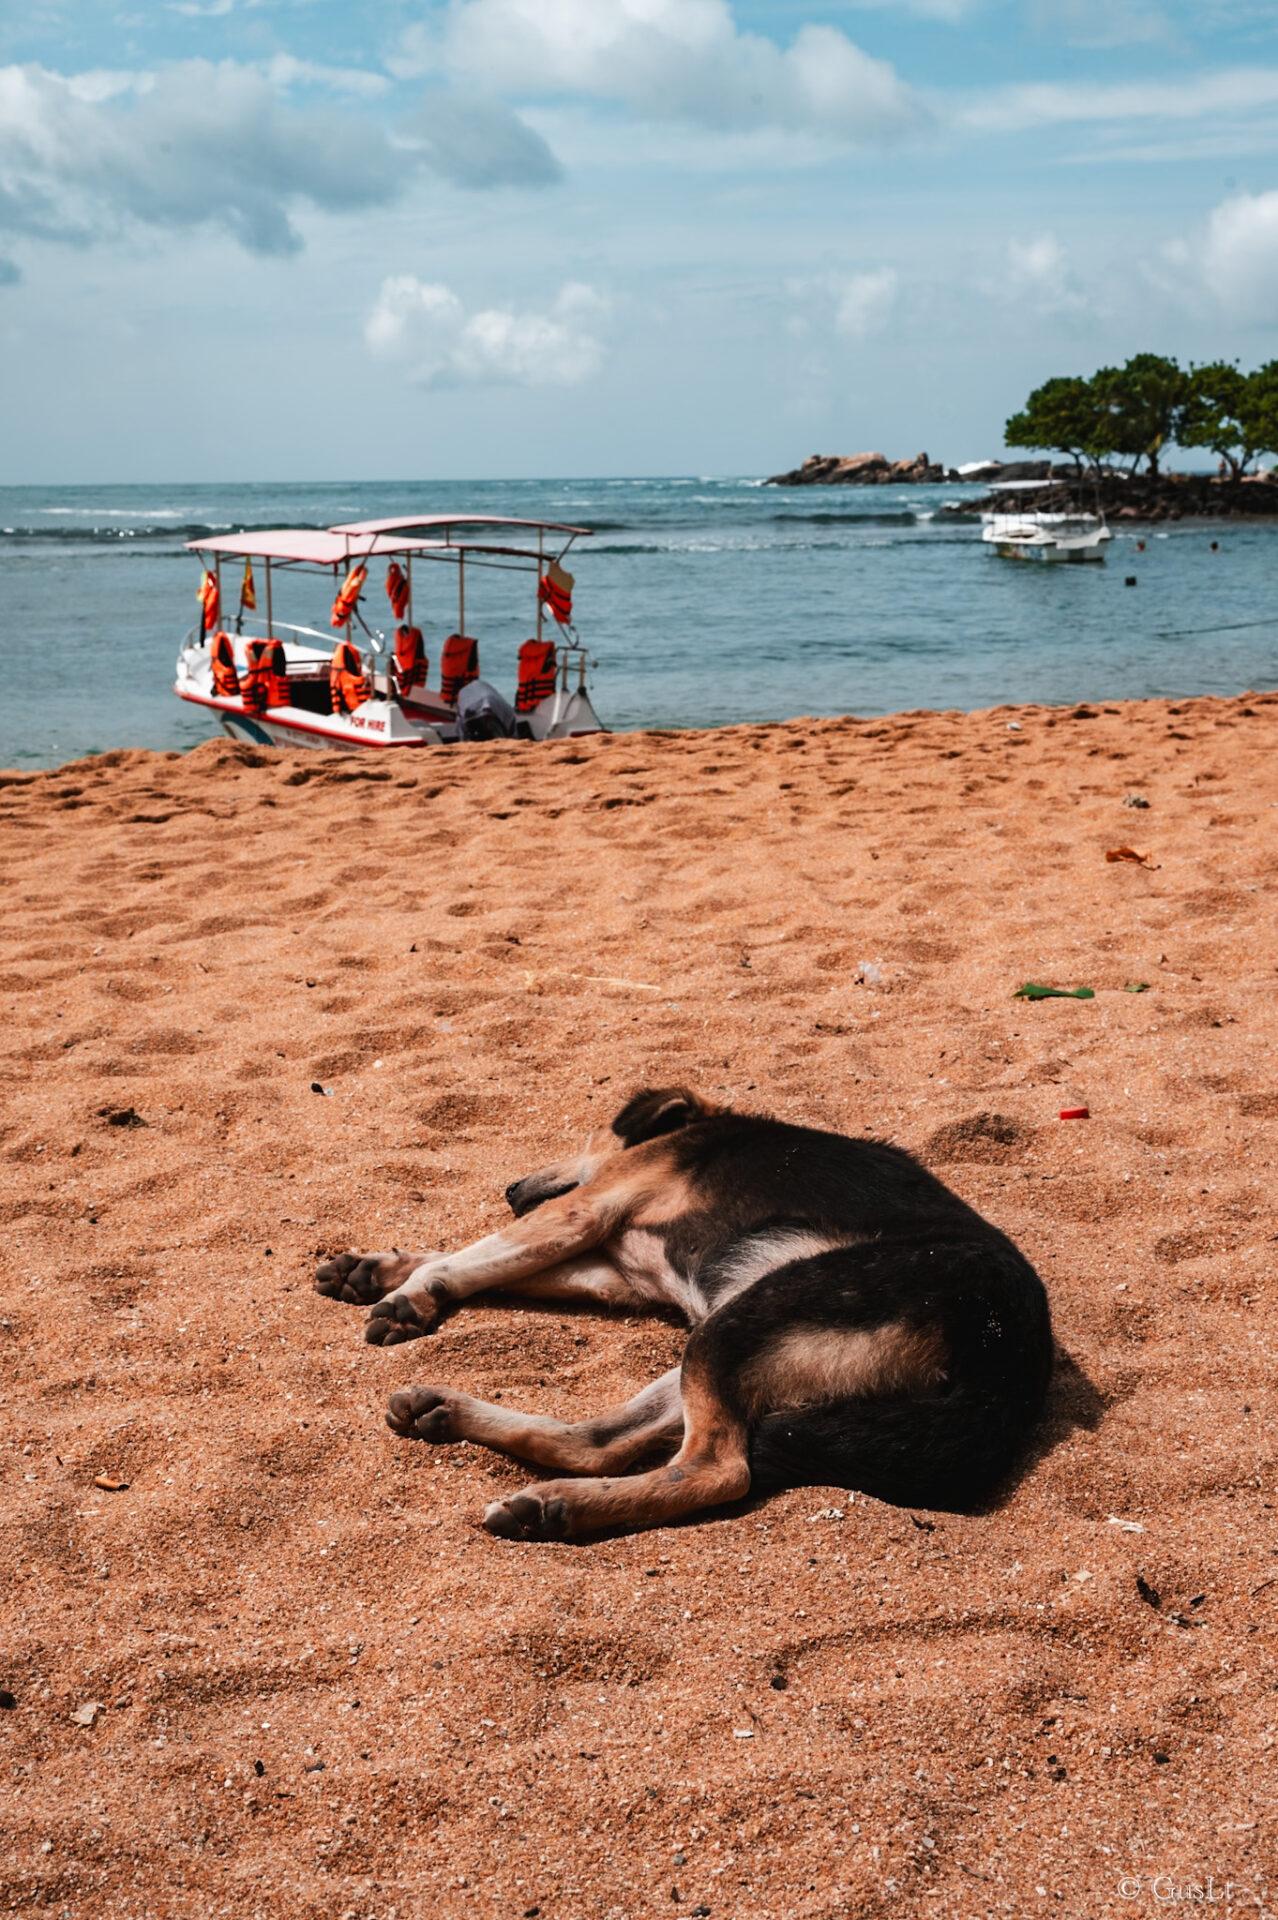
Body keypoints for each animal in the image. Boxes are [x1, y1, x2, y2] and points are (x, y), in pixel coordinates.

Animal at [312, 1082, 1051, 1543]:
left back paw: (558, 1510)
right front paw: (378, 1268)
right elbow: (480, 1257)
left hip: (737, 1328)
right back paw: (458, 1424)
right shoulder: (613, 1271)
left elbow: (474, 1255)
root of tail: (1006, 1367)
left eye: (591, 1136)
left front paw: (411, 1294)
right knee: (595, 1444)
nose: (512, 1188)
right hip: (733, 1338)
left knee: (718, 1470)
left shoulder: (587, 1212)